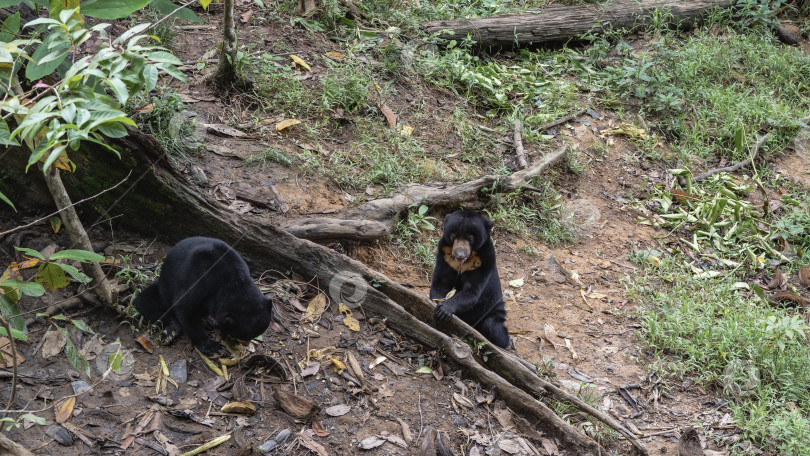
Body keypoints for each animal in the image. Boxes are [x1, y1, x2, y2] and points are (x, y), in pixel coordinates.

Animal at [133, 237, 272, 358]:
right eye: (244, 335)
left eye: (257, 333)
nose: (246, 343)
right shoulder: (198, 282)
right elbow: (186, 310)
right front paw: (215, 348)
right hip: (164, 287)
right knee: (144, 301)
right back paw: (171, 332)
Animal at [426, 211, 508, 350]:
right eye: (454, 235)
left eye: (470, 237)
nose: (460, 255)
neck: (463, 263)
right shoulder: (445, 256)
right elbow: (440, 282)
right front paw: (439, 305)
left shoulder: (483, 263)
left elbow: (471, 291)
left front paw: (444, 310)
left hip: (492, 311)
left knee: (494, 328)